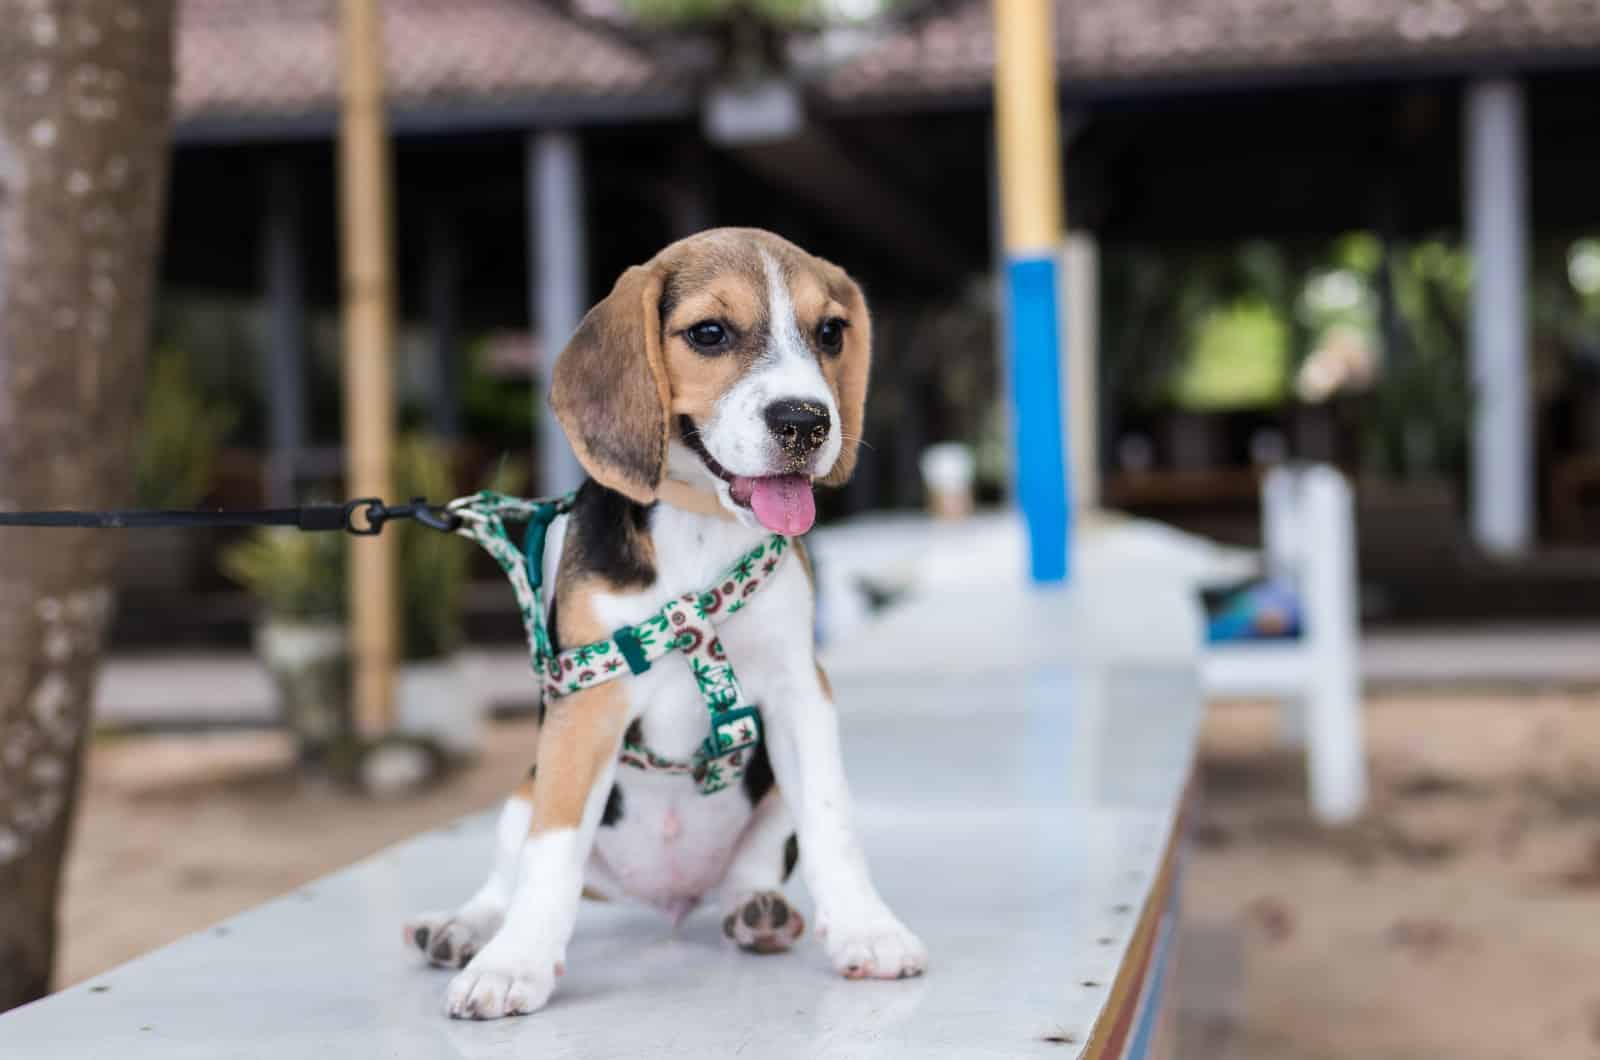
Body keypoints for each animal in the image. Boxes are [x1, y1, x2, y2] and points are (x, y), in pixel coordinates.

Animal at [400, 230, 928, 1024]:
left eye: (831, 333)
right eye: (709, 333)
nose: (806, 421)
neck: (701, 522)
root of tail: (667, 899)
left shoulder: (799, 691)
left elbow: (833, 819)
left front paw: (869, 929)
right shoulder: (586, 703)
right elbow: (552, 849)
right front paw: (514, 964)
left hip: (769, 800)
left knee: (751, 868)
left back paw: (759, 912)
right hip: (521, 792)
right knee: (509, 872)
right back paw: (464, 929)